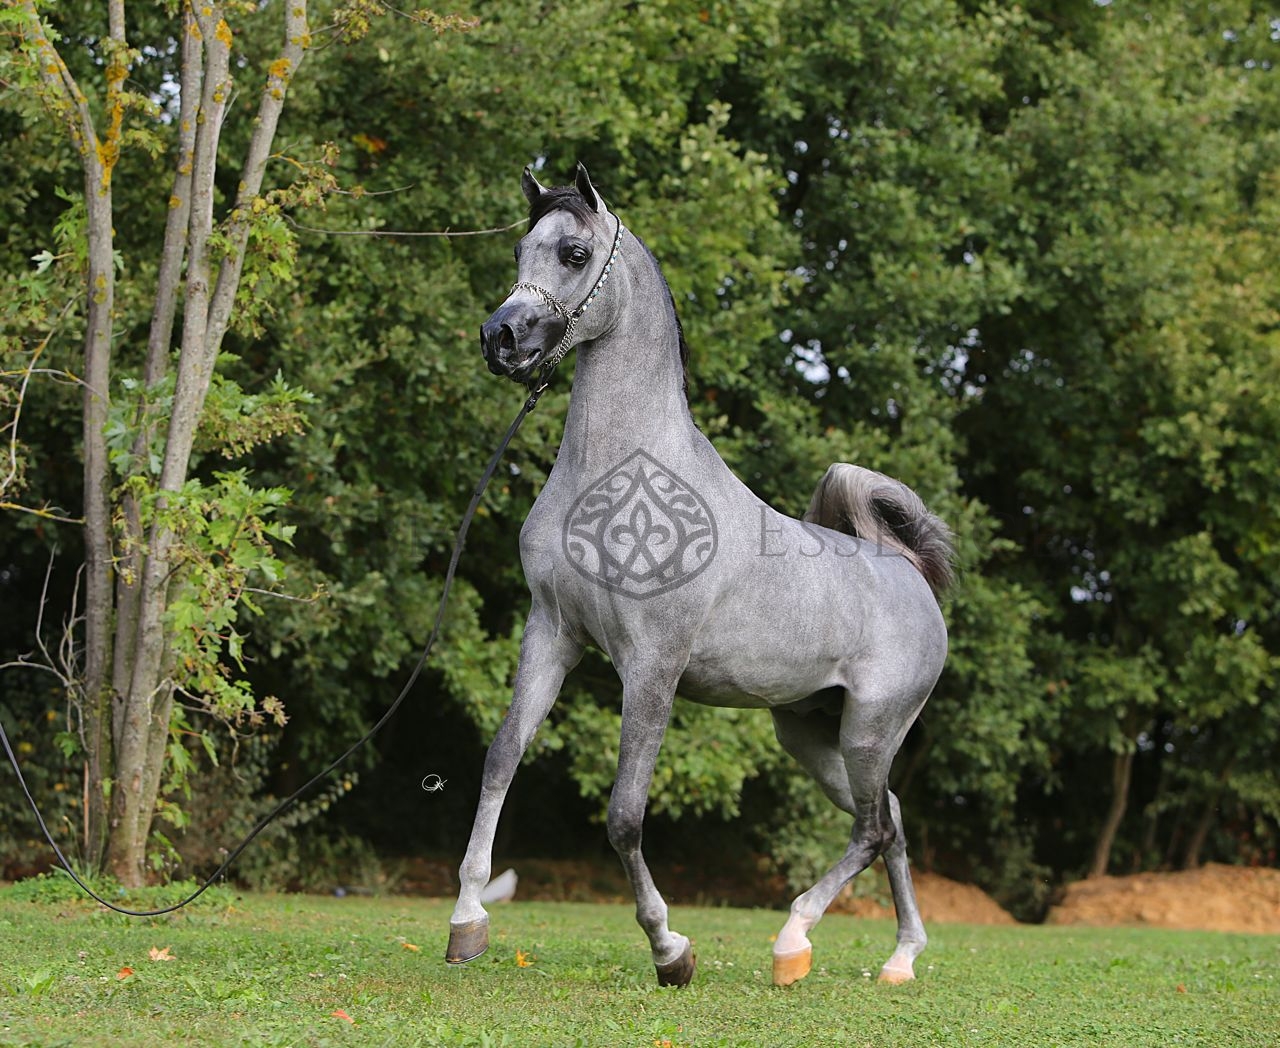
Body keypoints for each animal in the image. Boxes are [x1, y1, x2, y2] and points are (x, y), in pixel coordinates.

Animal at [447, 164, 953, 988]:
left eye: (575, 252)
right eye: (522, 248)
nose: (501, 338)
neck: (613, 477)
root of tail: (907, 570)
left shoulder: (652, 665)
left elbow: (624, 814)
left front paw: (670, 949)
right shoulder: (552, 633)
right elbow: (500, 759)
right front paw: (467, 922)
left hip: (872, 731)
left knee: (874, 829)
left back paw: (794, 939)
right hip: (811, 733)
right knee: (891, 822)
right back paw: (899, 958)